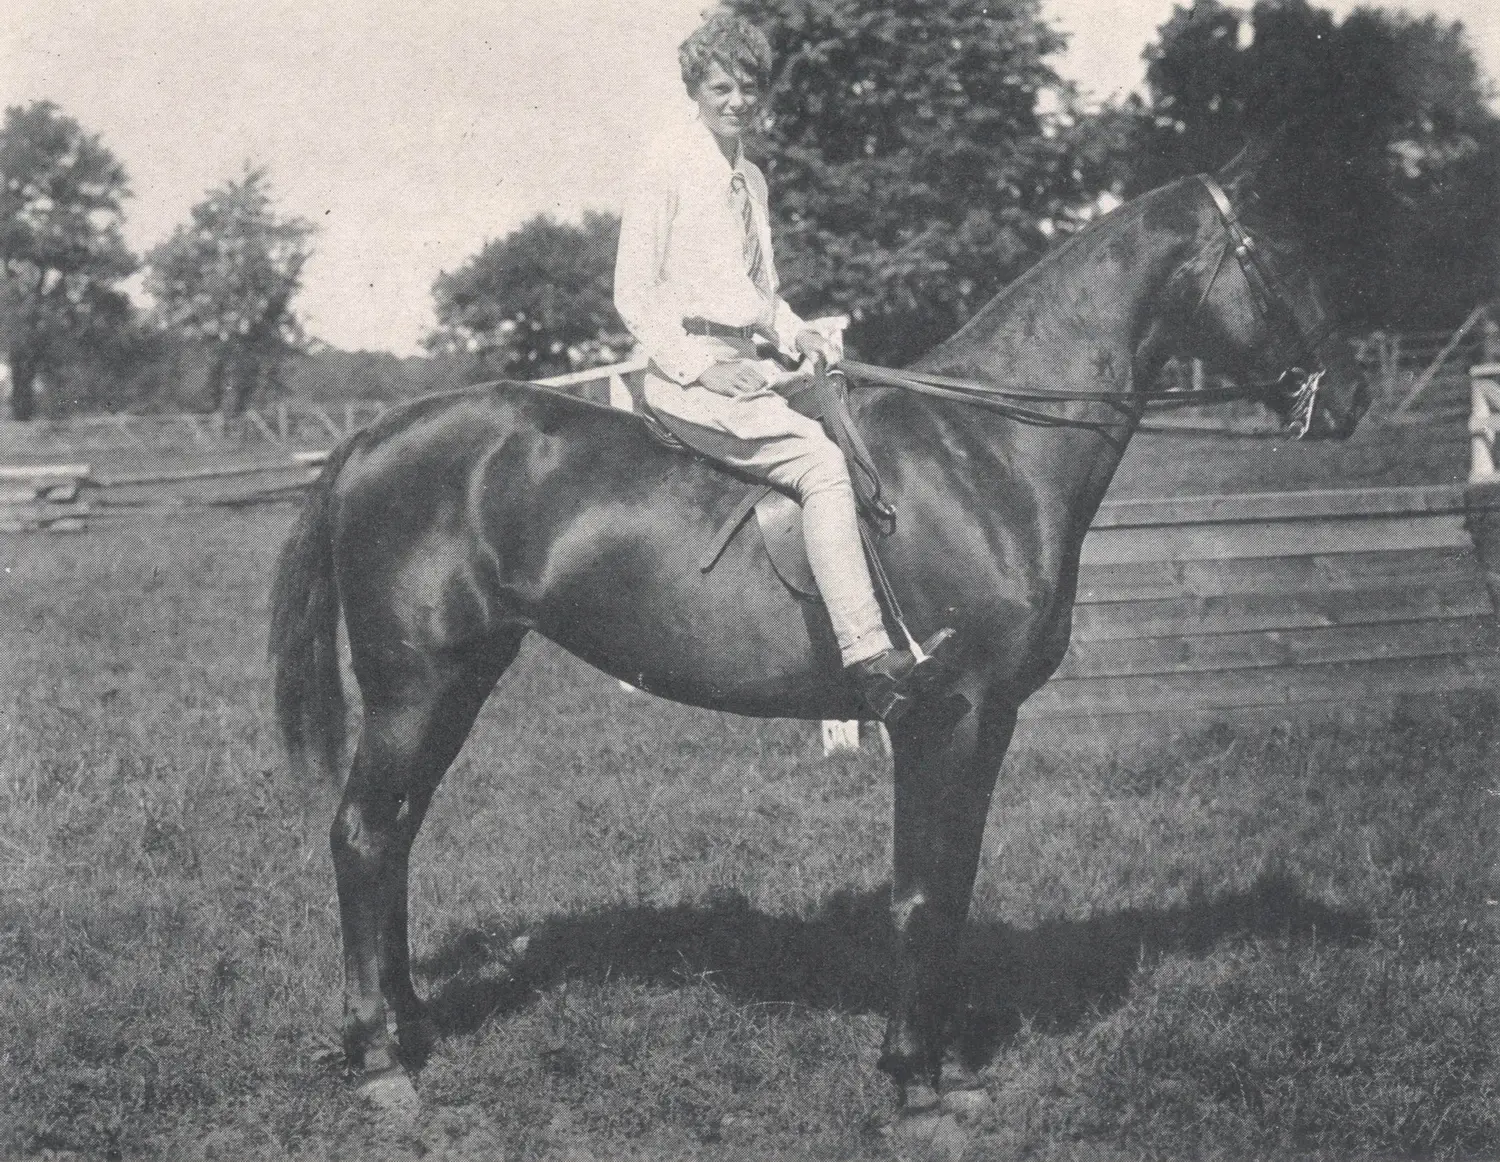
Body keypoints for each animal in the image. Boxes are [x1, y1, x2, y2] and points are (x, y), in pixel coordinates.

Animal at [270, 147, 1374, 1115]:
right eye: (1281, 255)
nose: (1354, 397)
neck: (987, 453)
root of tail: (372, 437)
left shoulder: (989, 722)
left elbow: (953, 882)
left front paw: (944, 1067)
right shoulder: (943, 714)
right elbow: (922, 892)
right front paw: (914, 1081)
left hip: (461, 679)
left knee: (397, 833)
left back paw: (410, 1029)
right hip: (415, 684)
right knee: (363, 835)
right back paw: (381, 1062)